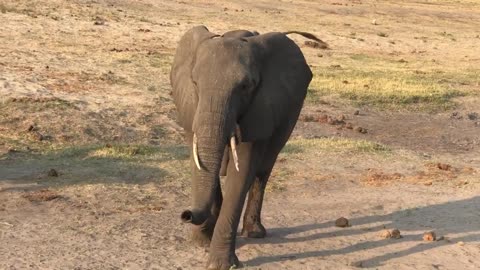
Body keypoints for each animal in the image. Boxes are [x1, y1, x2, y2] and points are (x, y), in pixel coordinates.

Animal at [169, 25, 322, 270]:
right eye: (194, 83)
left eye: (245, 87)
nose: (186, 214)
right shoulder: (190, 105)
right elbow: (199, 161)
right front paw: (202, 241)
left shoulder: (261, 107)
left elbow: (242, 172)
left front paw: (220, 263)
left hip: (291, 114)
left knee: (264, 169)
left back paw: (255, 233)